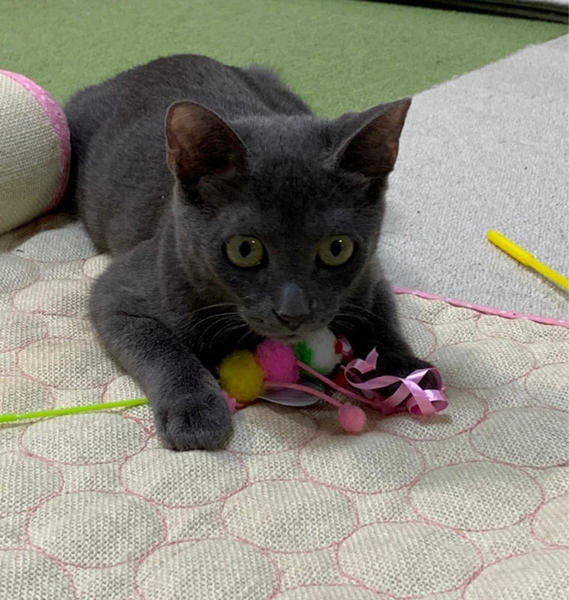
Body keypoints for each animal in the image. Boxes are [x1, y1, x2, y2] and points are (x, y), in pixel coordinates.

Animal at [65, 54, 432, 450]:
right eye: (244, 249)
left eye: (337, 248)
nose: (293, 312)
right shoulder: (118, 293)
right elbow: (161, 348)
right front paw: (194, 411)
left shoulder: (370, 276)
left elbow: (383, 319)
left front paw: (408, 372)